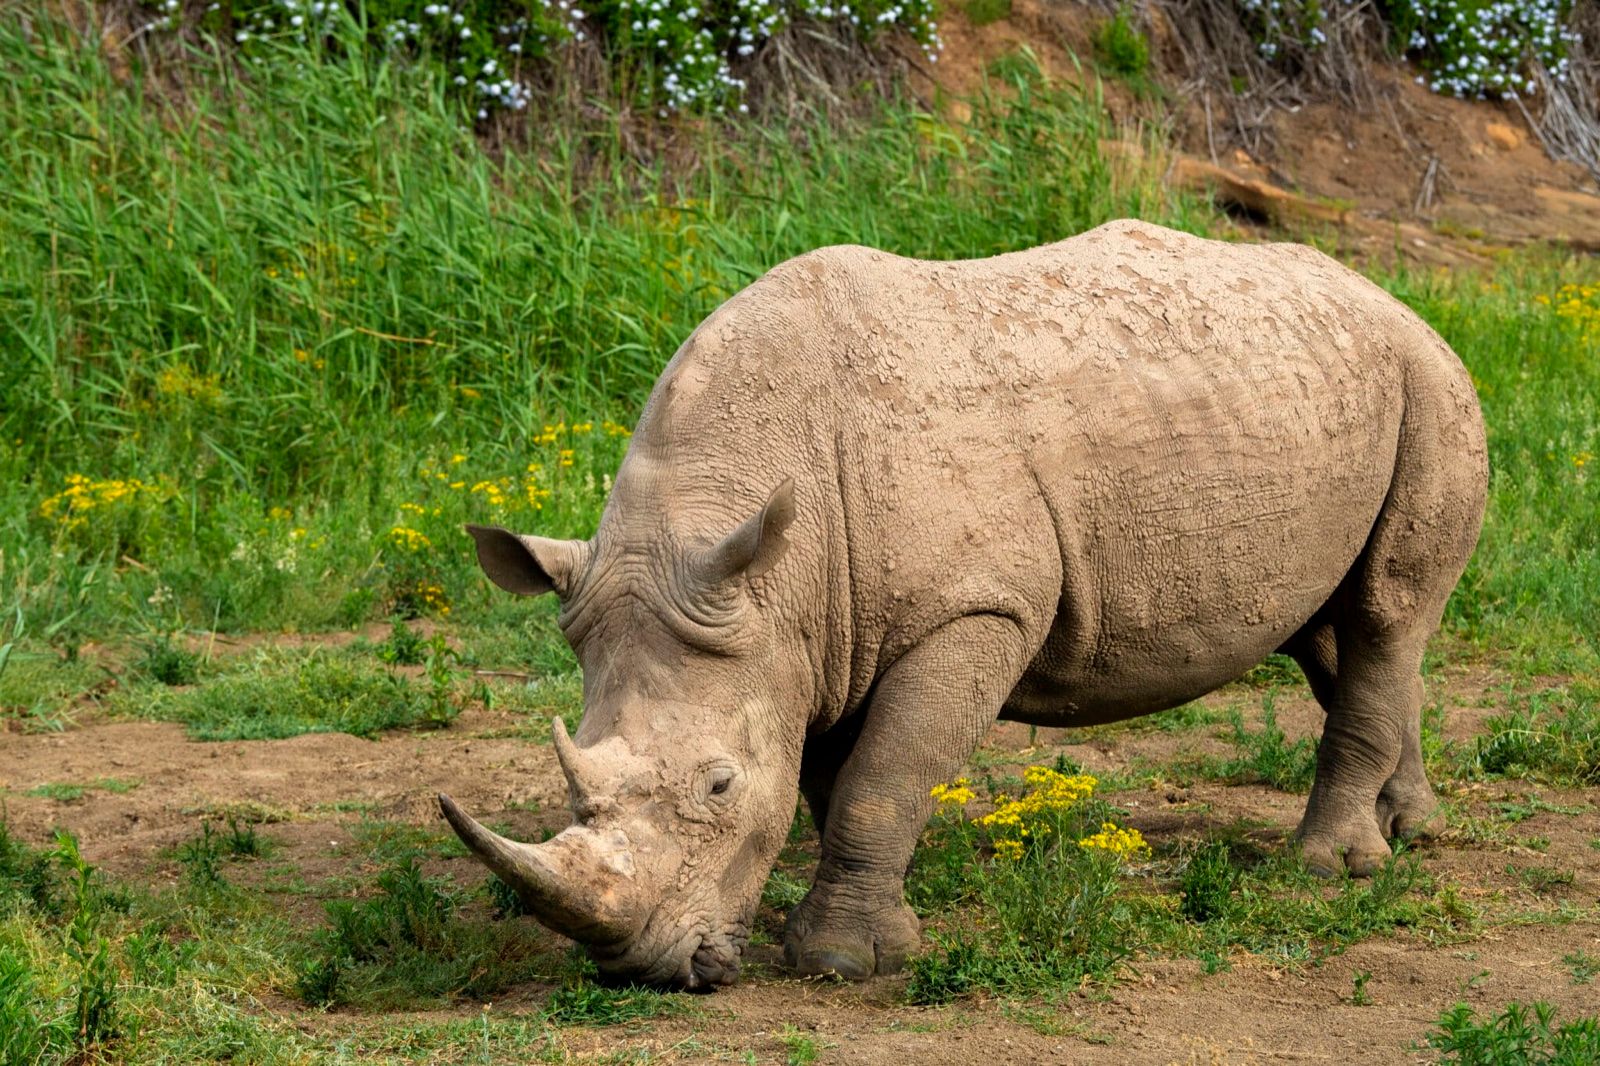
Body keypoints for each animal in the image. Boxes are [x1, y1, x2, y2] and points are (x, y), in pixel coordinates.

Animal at [439, 219, 1487, 989]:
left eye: (720, 786)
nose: (644, 968)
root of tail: (1389, 296)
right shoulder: (816, 630)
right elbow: (834, 779)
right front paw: (867, 938)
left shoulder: (974, 609)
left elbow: (883, 775)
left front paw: (840, 963)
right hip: (1321, 397)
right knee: (1329, 632)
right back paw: (1413, 830)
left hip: (1433, 385)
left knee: (1386, 610)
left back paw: (1332, 869)